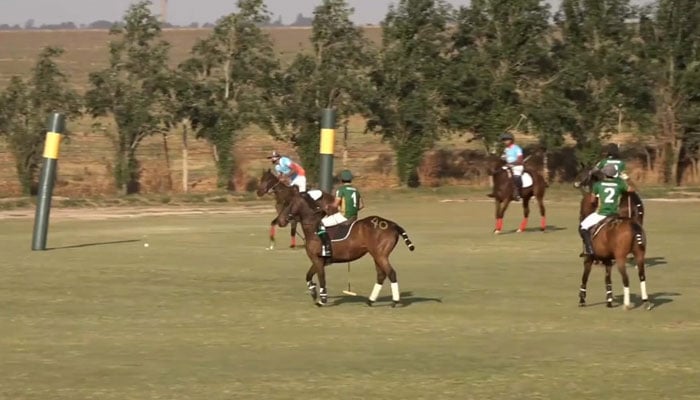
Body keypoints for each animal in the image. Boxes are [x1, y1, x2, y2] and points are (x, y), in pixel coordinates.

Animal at [276, 187, 412, 306]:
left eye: (288, 203)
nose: (279, 221)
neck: (313, 228)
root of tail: (393, 225)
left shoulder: (317, 259)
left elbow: (321, 278)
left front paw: (322, 300)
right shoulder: (320, 260)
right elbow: (308, 275)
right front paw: (313, 291)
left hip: (380, 255)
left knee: (391, 273)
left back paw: (394, 301)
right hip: (377, 255)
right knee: (381, 275)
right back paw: (370, 301)